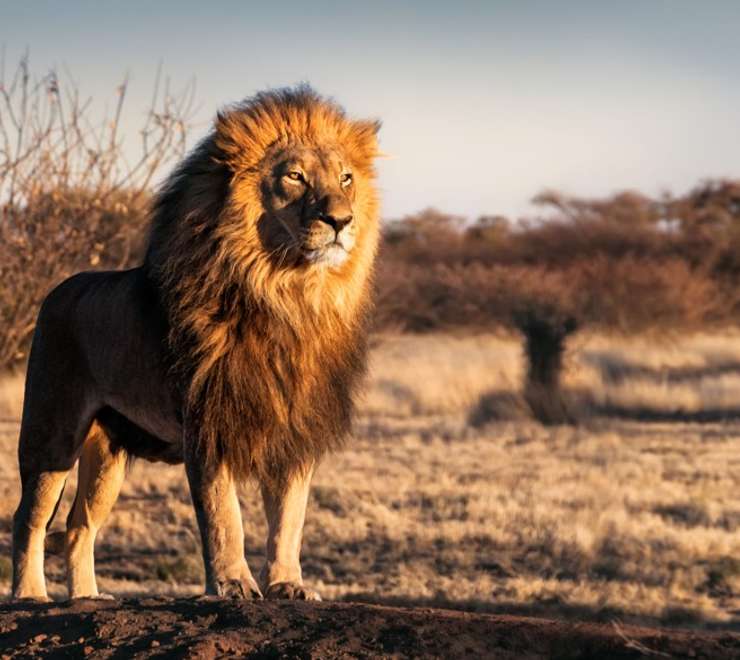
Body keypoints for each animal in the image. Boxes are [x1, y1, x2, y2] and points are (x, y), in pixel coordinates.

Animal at [12, 86, 381, 602]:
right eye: (295, 176)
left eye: (346, 178)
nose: (341, 220)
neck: (287, 295)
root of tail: (58, 289)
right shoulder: (208, 421)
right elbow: (224, 515)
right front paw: (232, 584)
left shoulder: (294, 428)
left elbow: (290, 518)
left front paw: (288, 584)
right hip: (52, 433)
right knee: (29, 517)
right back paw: (30, 594)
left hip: (108, 453)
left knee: (79, 524)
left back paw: (87, 597)